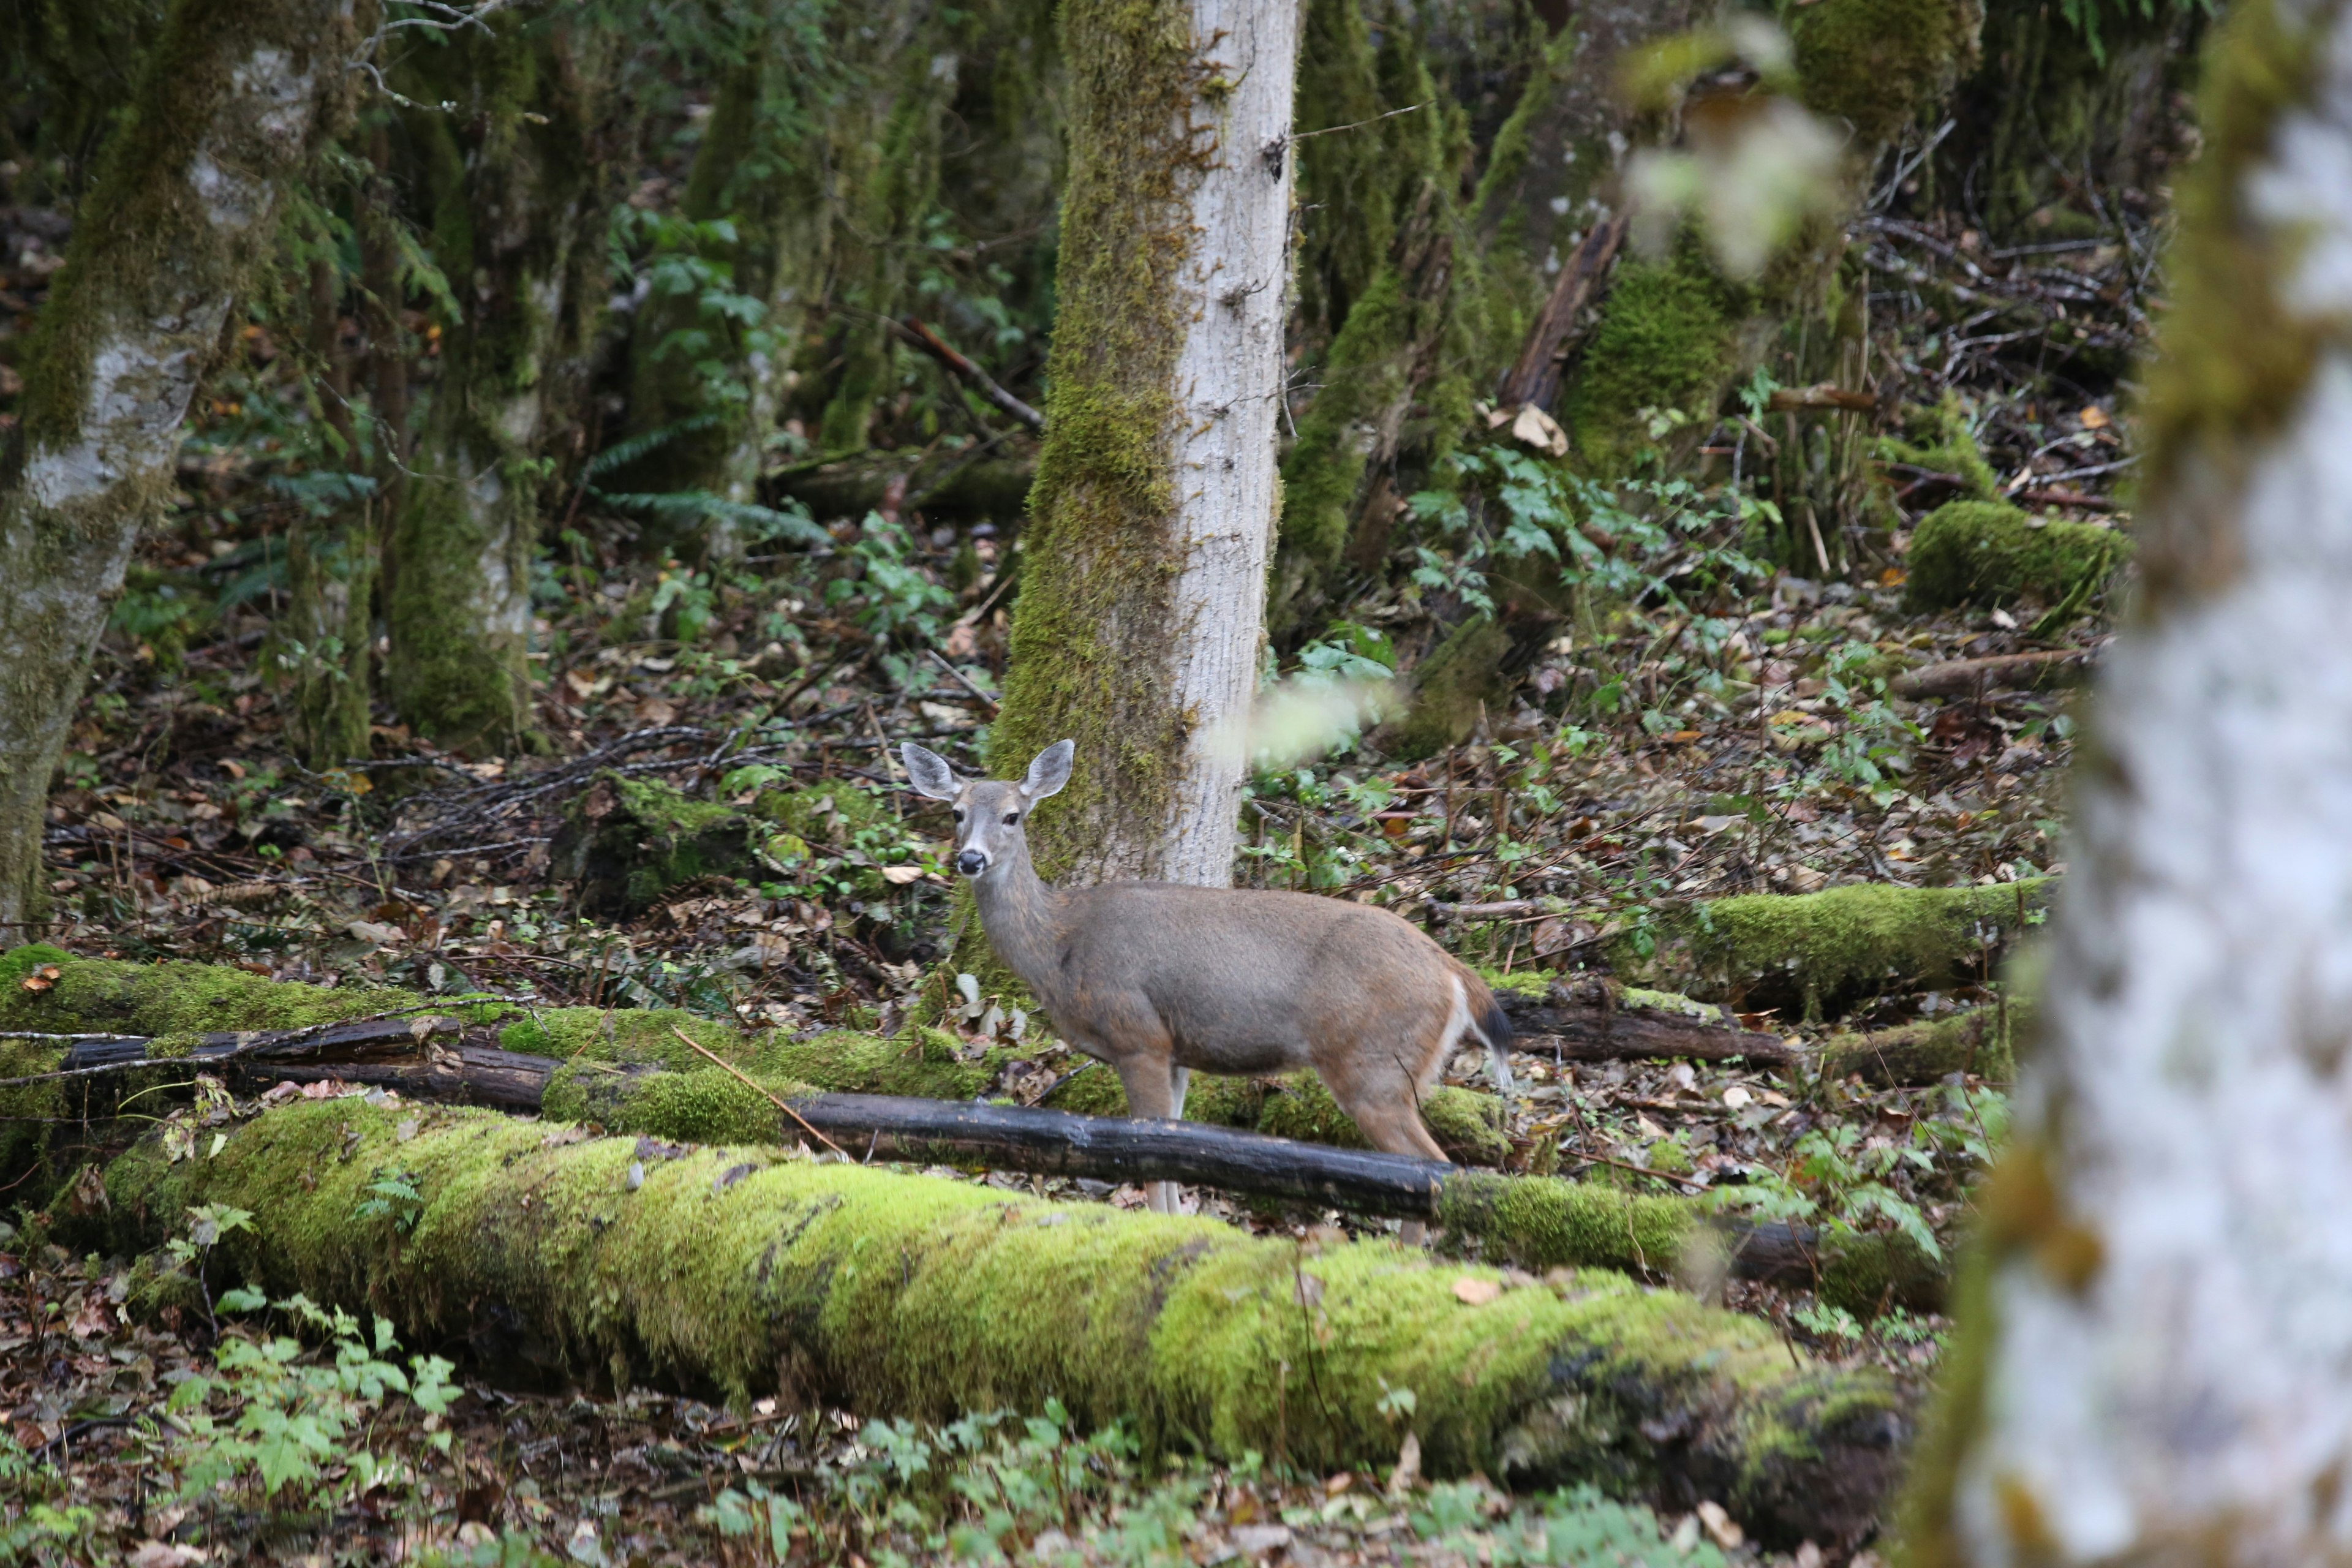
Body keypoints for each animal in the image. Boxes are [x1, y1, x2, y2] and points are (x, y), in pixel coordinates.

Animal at [898, 738, 1505, 1241]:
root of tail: (1455, 973)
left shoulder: (1138, 1035)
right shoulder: (1177, 1051)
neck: (1060, 947)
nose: (970, 858)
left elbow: (1148, 1157)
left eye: (1013, 816)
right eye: (955, 813)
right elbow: (1173, 1150)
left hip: (1373, 1062)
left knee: (1433, 1164)